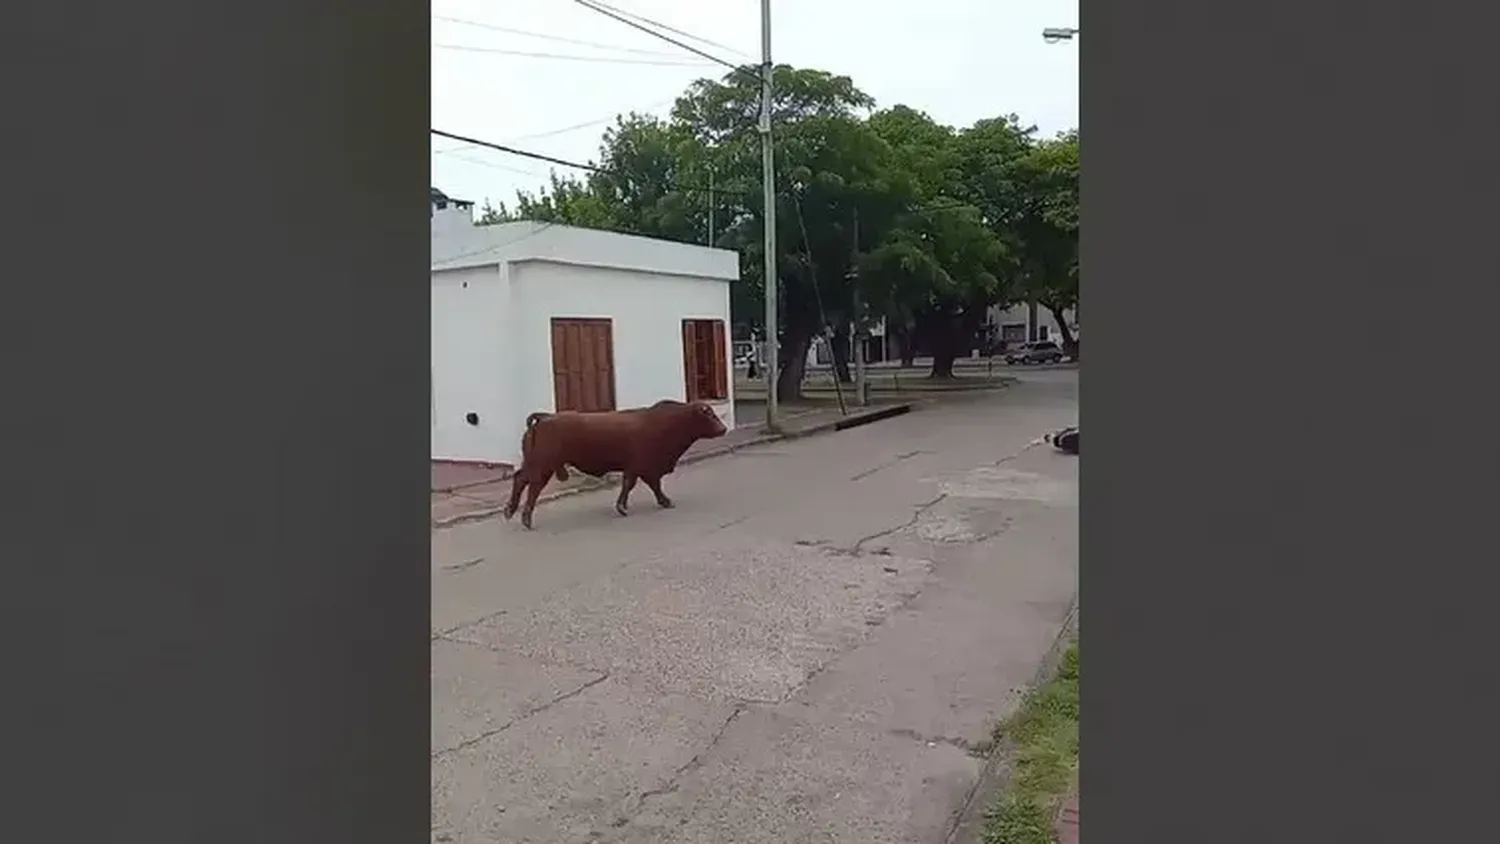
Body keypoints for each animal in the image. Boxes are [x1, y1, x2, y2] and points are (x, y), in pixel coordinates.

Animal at [501, 398, 729, 527]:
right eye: (709, 415)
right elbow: (634, 484)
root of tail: (545, 418)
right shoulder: (641, 466)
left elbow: (651, 485)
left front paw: (664, 501)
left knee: (520, 479)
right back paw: (526, 518)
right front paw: (623, 507)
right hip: (543, 465)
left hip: (533, 464)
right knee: (533, 487)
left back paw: (510, 511)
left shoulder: (644, 468)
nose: (724, 428)